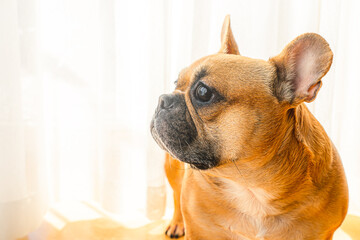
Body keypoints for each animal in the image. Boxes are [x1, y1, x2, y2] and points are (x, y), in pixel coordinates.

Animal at [150, 15, 348, 240]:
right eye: (176, 83)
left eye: (203, 92)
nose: (163, 99)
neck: (250, 185)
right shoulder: (200, 230)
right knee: (176, 193)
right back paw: (176, 222)